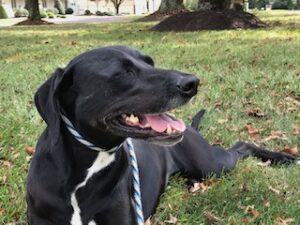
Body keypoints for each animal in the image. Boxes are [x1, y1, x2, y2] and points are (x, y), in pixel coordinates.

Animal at [27, 45, 296, 225]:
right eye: (122, 73)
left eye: (150, 62)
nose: (192, 82)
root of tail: (191, 129)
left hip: (210, 164)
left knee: (241, 145)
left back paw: (284, 158)